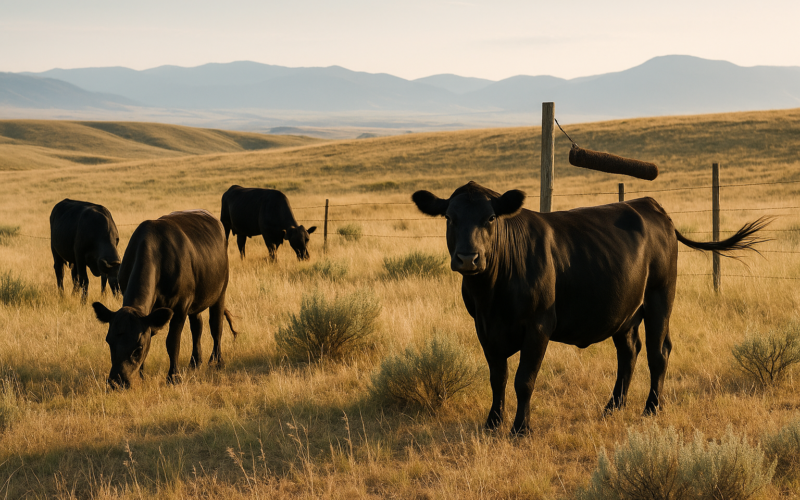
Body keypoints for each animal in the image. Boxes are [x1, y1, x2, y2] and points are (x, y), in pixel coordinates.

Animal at [92, 209, 237, 388]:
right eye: (109, 341)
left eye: (138, 348)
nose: (117, 381)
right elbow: (151, 334)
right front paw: (141, 375)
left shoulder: (181, 306)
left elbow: (172, 341)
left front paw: (173, 377)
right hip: (196, 302)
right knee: (197, 326)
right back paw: (195, 362)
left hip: (220, 292)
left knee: (216, 326)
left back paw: (216, 362)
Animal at [412, 181, 770, 435]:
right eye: (450, 218)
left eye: (490, 218)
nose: (468, 258)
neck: (491, 294)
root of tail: (648, 204)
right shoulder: (484, 328)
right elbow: (497, 377)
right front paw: (492, 424)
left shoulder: (538, 325)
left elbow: (524, 379)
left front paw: (520, 429)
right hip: (625, 311)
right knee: (629, 353)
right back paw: (612, 407)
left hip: (660, 297)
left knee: (658, 352)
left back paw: (651, 408)